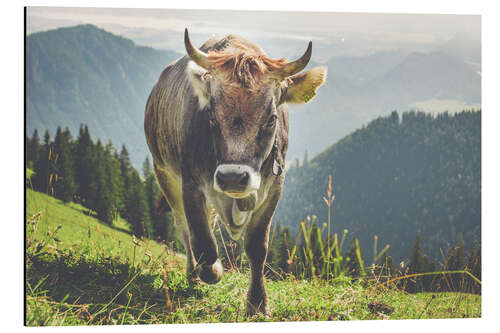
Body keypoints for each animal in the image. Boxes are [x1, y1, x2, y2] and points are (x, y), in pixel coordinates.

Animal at [143, 27, 326, 314]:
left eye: (271, 119)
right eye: (211, 116)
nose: (232, 178)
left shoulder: (275, 187)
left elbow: (257, 246)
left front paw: (257, 303)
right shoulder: (190, 183)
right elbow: (203, 242)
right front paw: (212, 271)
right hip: (163, 171)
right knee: (184, 227)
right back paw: (193, 273)